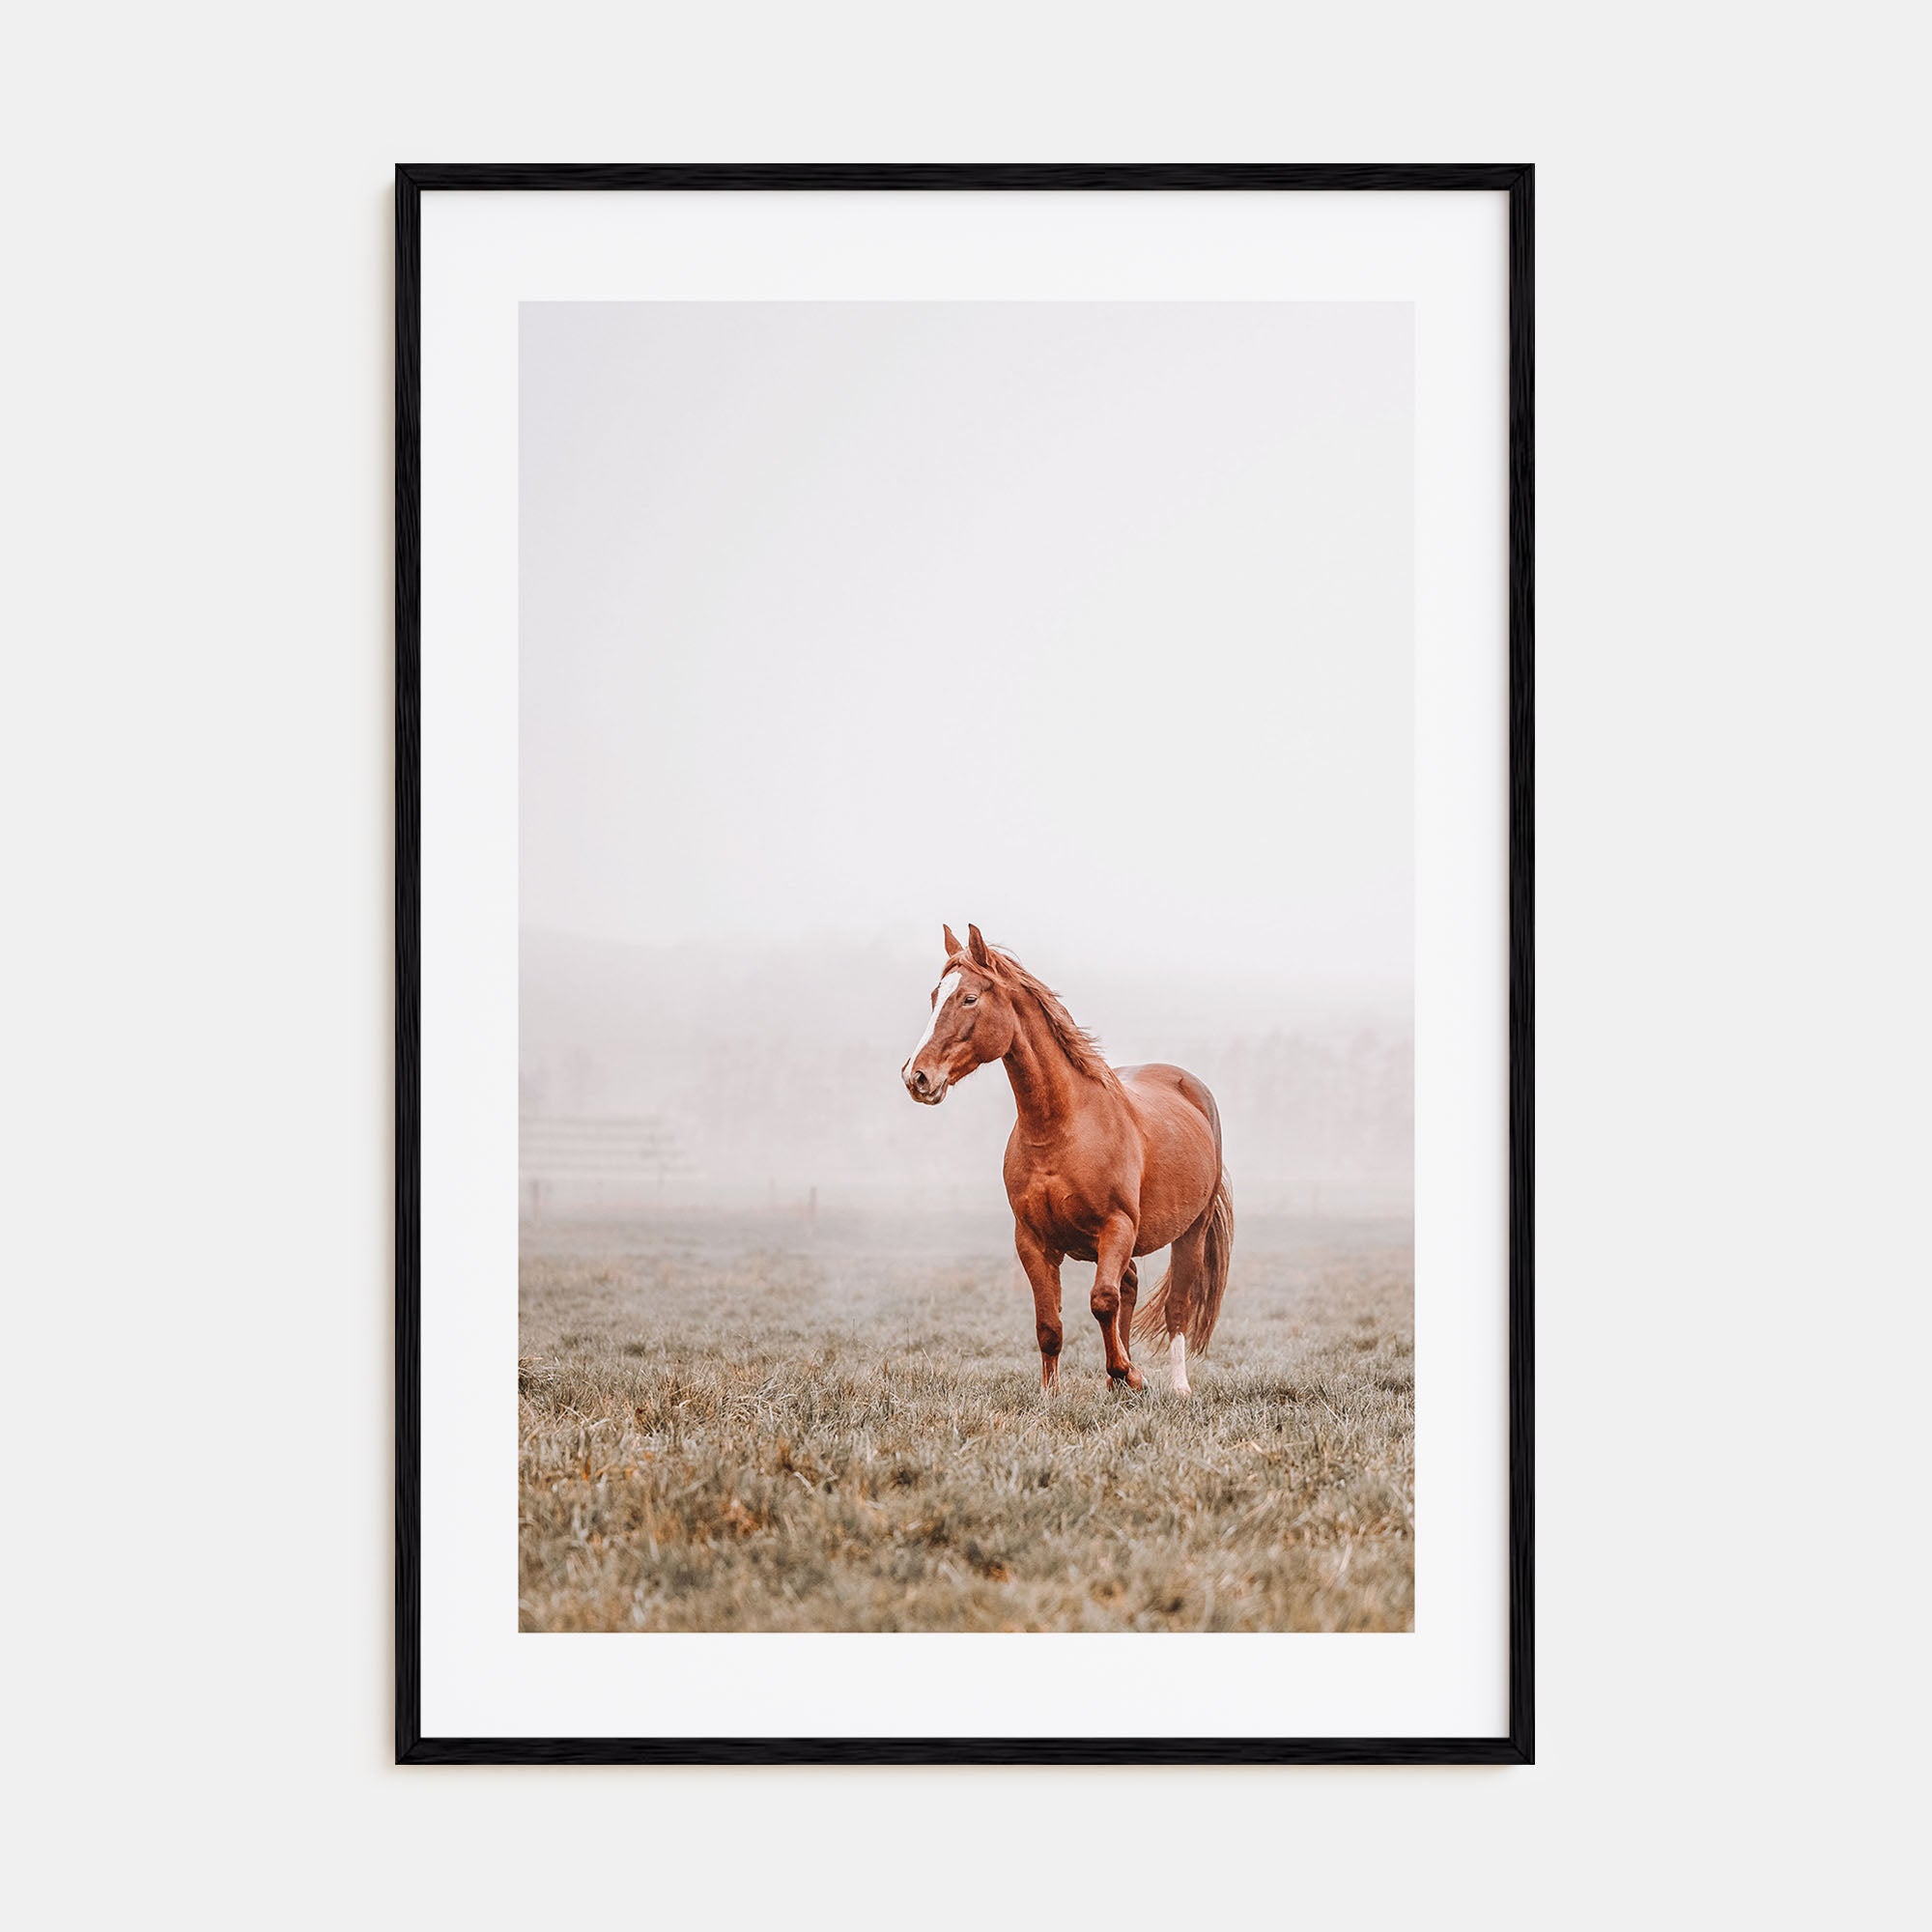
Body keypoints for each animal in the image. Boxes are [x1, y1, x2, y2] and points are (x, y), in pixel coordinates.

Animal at [900, 924, 1233, 1396]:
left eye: (969, 998)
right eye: (934, 995)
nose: (917, 1076)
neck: (1060, 1130)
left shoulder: (1117, 1225)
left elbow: (1102, 1300)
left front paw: (1131, 1373)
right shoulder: (1032, 1240)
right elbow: (1049, 1325)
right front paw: (1052, 1393)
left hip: (1191, 1230)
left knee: (1176, 1305)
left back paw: (1176, 1386)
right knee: (1130, 1285)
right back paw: (1117, 1384)